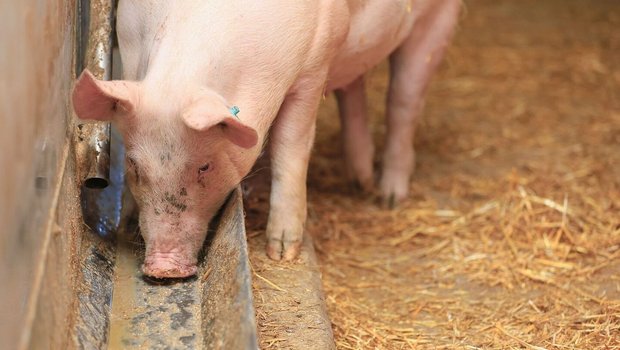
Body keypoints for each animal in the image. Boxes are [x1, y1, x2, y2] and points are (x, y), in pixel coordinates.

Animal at [71, 0, 460, 278]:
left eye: (204, 166)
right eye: (134, 165)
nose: (163, 268)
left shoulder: (312, 68)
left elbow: (291, 149)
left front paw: (282, 253)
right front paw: (127, 222)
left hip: (437, 19)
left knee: (403, 100)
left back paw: (388, 197)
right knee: (354, 86)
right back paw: (359, 182)